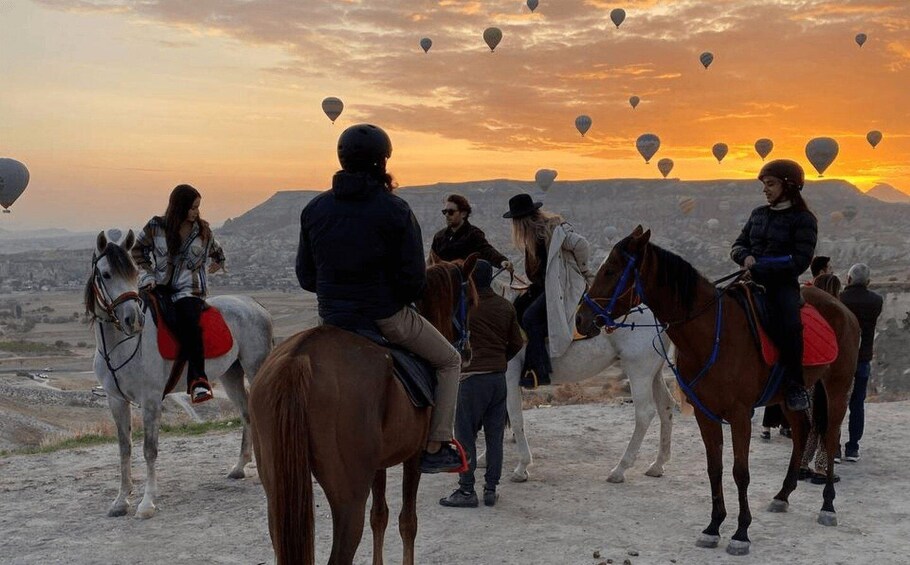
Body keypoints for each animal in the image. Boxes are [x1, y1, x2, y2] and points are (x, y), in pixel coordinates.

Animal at [86, 231, 274, 516]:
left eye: (133, 273)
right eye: (106, 274)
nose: (134, 320)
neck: (121, 345)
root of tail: (254, 303)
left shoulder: (151, 400)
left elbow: (149, 450)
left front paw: (147, 503)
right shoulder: (116, 401)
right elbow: (124, 449)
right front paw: (120, 501)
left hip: (255, 368)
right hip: (231, 375)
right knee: (246, 413)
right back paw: (239, 467)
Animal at [248, 256, 478, 564]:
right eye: (473, 300)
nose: (467, 353)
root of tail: (299, 358)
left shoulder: (378, 464)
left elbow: (379, 516)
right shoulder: (414, 457)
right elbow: (408, 522)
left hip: (276, 491)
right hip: (348, 499)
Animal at [492, 274, 676, 480]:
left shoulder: (509, 375)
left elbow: (513, 418)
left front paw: (521, 467)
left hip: (639, 371)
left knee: (644, 413)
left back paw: (620, 469)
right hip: (653, 372)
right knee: (666, 405)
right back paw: (658, 465)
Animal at [576, 226, 864, 556]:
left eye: (611, 270)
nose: (581, 318)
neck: (713, 332)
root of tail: (844, 309)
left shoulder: (740, 416)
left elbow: (740, 472)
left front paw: (741, 533)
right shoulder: (706, 413)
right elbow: (715, 468)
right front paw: (713, 527)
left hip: (837, 387)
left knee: (829, 437)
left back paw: (828, 505)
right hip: (788, 395)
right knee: (802, 431)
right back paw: (783, 495)